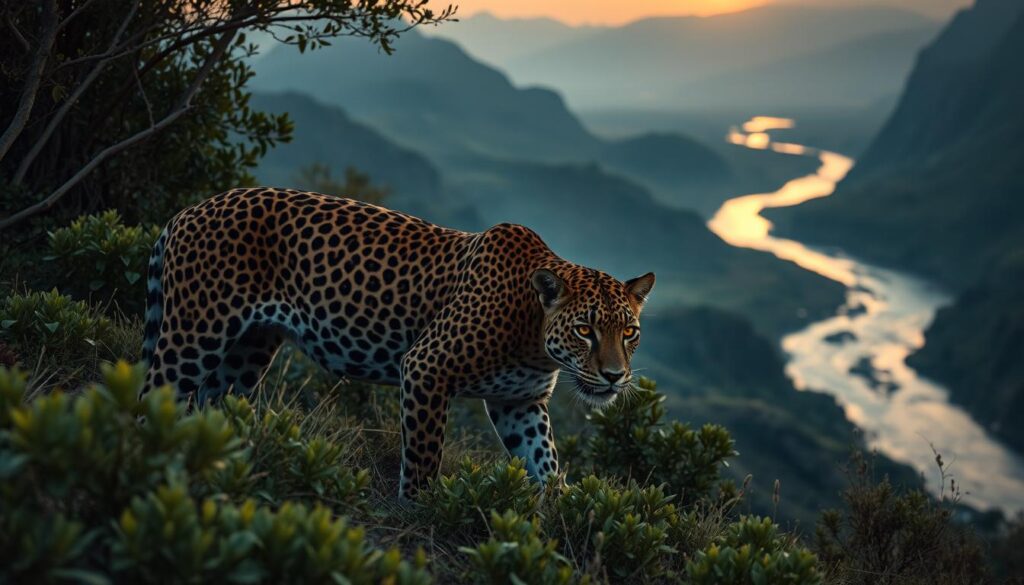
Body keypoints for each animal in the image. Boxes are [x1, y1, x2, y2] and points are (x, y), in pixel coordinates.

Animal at [141, 187, 656, 499]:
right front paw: (420, 510)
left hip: (247, 351)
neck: (533, 335)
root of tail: (188, 211)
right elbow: (426, 455)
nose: (615, 377)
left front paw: (563, 510)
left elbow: (543, 459)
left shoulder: (520, 403)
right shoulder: (427, 368)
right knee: (155, 392)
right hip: (195, 332)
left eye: (629, 332)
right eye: (585, 329)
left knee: (212, 403)